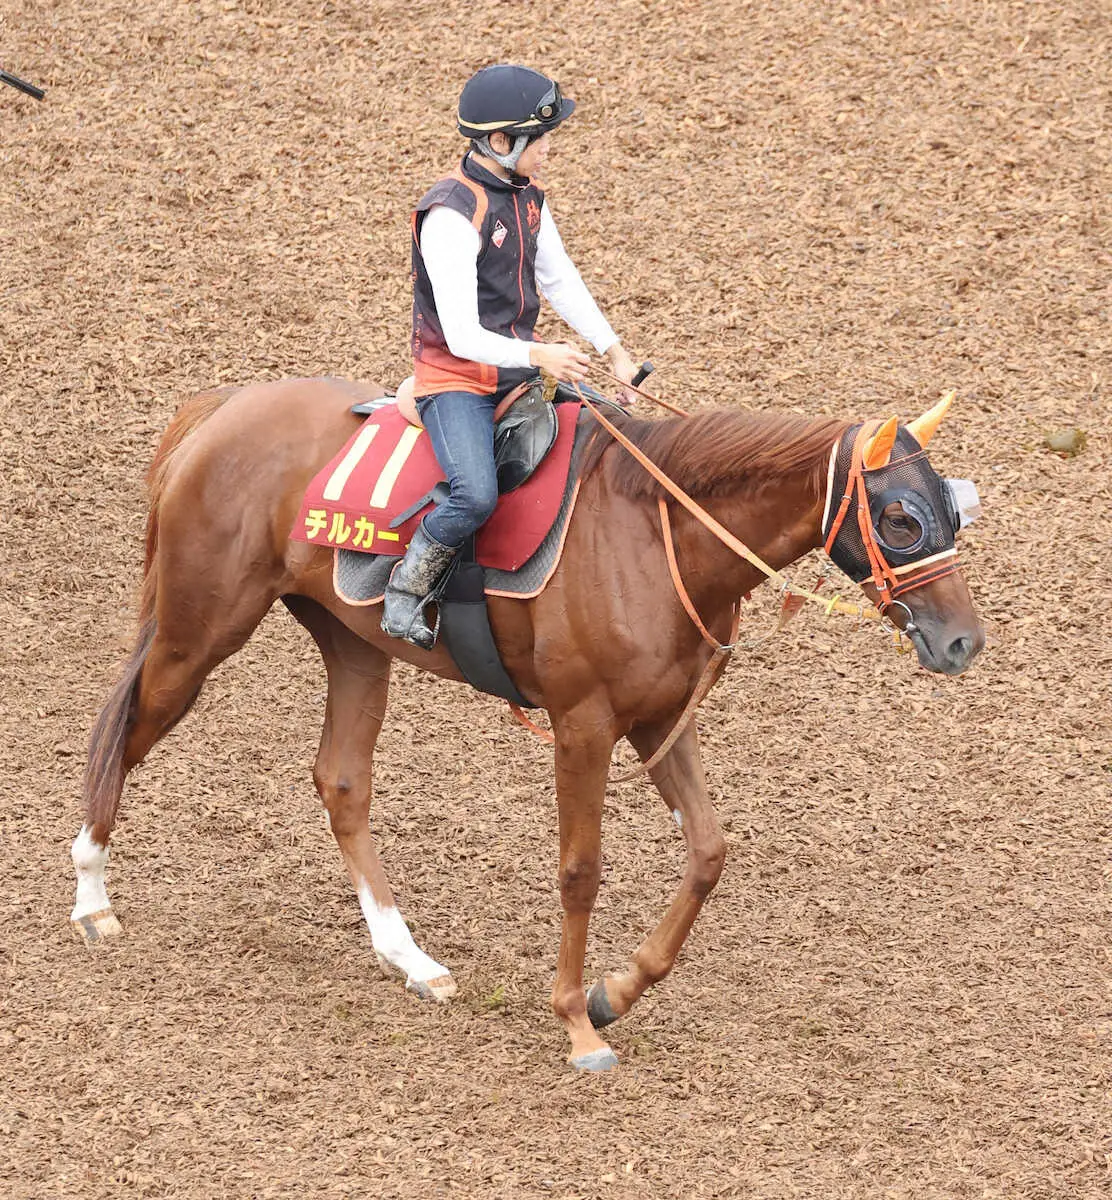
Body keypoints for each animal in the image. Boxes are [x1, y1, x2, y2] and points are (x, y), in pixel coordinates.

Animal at [73, 374, 988, 1070]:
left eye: (954, 506)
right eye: (901, 519)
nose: (963, 641)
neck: (655, 531)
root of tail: (222, 408)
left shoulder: (660, 719)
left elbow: (708, 852)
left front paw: (616, 992)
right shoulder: (584, 724)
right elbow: (580, 870)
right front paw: (578, 1022)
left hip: (353, 643)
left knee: (341, 783)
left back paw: (411, 959)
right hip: (198, 632)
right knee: (124, 730)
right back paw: (90, 896)